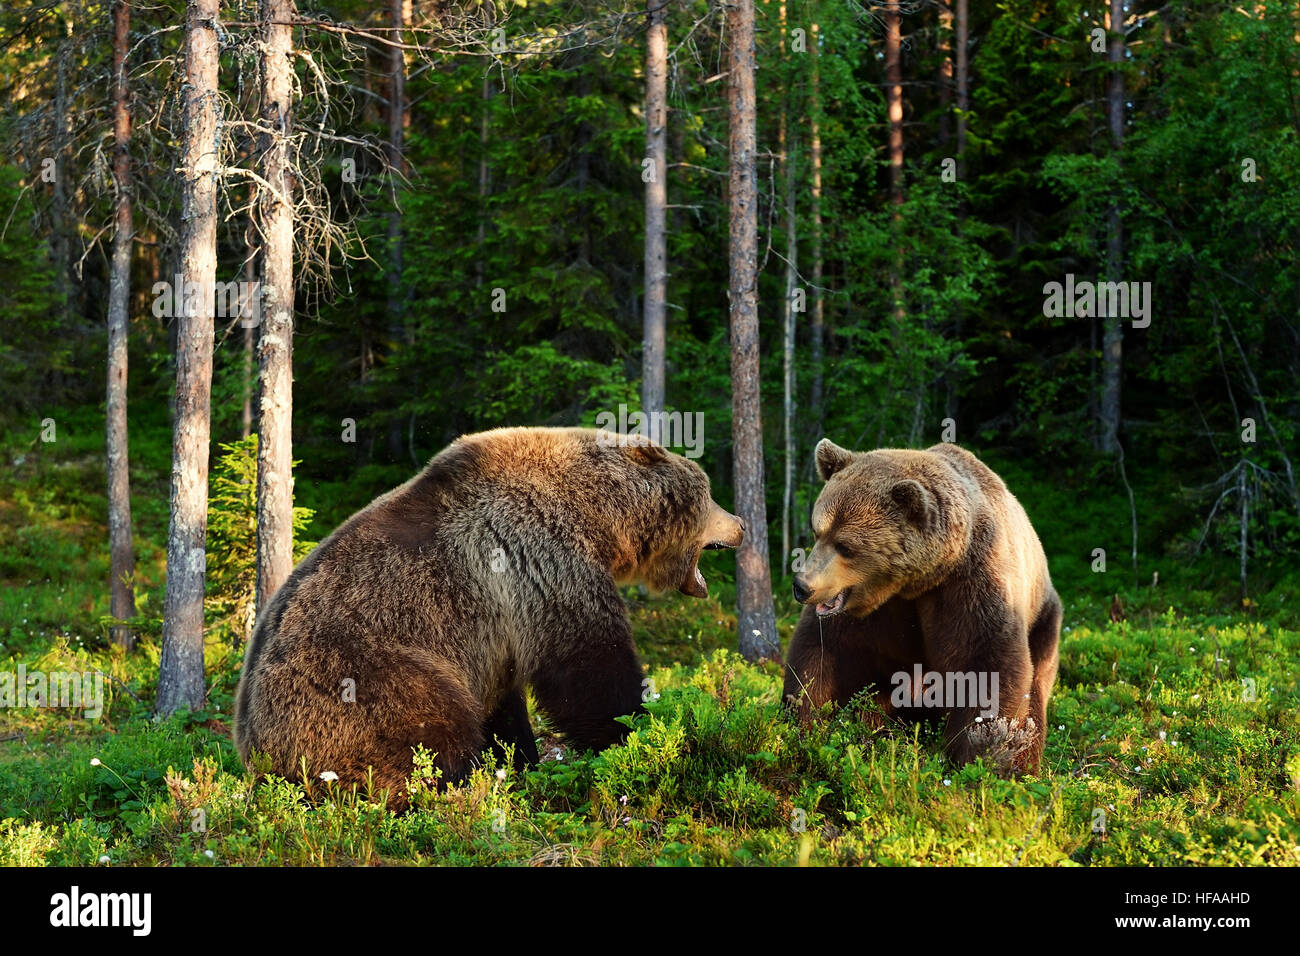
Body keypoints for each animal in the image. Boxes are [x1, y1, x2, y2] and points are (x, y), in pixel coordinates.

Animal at [233, 429, 743, 811]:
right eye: (710, 493)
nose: (740, 523)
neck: (597, 517)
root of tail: (255, 751)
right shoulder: (541, 558)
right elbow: (588, 666)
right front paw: (635, 733)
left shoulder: (497, 634)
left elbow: (506, 704)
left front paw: (522, 761)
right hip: (364, 676)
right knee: (429, 726)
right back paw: (449, 786)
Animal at [785, 437, 1060, 775]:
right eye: (818, 531)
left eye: (846, 546)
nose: (802, 586)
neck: (914, 583)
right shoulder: (868, 614)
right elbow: (821, 654)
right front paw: (804, 723)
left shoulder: (971, 585)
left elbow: (985, 661)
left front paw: (978, 755)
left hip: (1044, 622)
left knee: (1035, 691)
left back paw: (1025, 763)